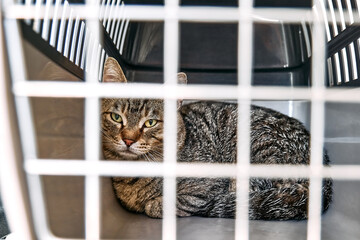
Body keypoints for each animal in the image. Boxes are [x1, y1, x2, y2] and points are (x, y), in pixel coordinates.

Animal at [100, 57, 332, 220]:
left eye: (150, 123)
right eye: (116, 117)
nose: (128, 140)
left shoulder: (208, 188)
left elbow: (164, 204)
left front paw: (156, 204)